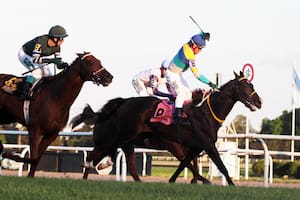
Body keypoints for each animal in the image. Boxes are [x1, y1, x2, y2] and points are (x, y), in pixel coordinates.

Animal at [78, 71, 262, 185]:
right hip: (121, 136)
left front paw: (175, 180)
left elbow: (185, 164)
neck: (205, 112)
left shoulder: (195, 146)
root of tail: (122, 102)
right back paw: (90, 173)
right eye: (245, 87)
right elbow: (221, 166)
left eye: (252, 85)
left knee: (127, 163)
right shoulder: (207, 145)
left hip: (128, 141)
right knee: (97, 153)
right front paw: (230, 184)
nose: (259, 102)